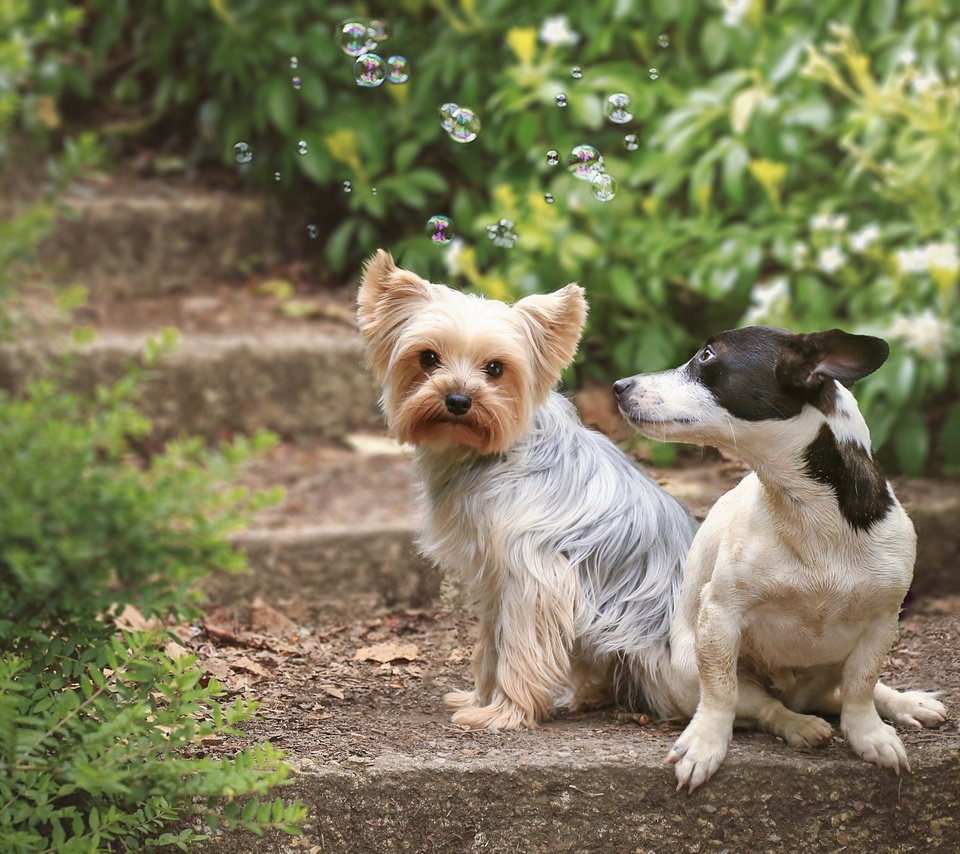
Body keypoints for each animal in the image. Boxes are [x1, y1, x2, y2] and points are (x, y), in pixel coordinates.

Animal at [360, 251, 696, 732]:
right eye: (427, 358)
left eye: (495, 368)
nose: (458, 400)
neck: (493, 453)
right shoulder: (494, 577)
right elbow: (490, 644)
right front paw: (479, 698)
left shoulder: (535, 576)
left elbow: (519, 648)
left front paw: (504, 712)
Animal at [616, 324, 944, 792]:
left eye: (707, 356)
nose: (618, 386)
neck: (807, 510)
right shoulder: (720, 616)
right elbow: (721, 693)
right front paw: (704, 744)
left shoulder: (882, 622)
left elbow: (862, 686)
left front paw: (869, 735)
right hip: (687, 671)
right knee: (762, 707)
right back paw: (800, 725)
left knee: (844, 691)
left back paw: (905, 703)